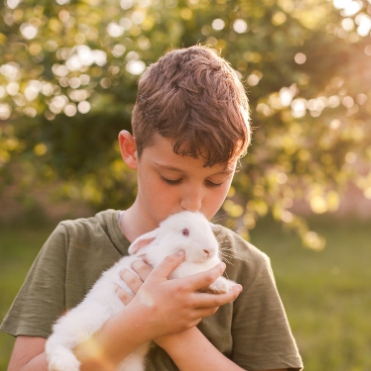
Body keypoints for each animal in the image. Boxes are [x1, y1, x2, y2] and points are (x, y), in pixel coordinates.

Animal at [45, 212, 238, 371]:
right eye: (185, 232)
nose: (209, 250)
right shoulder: (175, 269)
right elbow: (195, 272)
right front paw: (224, 285)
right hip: (87, 321)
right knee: (56, 338)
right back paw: (64, 364)